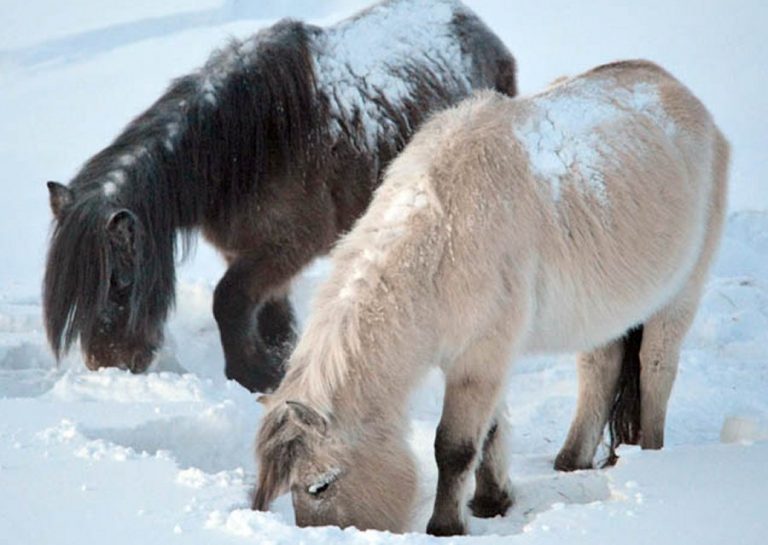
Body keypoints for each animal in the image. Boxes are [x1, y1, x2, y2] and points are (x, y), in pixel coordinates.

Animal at [42, 0, 517, 393]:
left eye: (121, 283)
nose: (109, 363)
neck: (241, 147)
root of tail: (477, 25)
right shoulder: (251, 251)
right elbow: (271, 314)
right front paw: (281, 364)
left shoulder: (288, 245)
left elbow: (228, 302)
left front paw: (252, 376)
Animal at [253, 60, 729, 535]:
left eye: (319, 486)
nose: (330, 535)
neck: (441, 237)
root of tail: (680, 92)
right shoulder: (486, 360)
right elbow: (491, 432)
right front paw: (491, 501)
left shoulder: (480, 358)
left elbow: (455, 447)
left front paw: (446, 526)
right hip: (603, 313)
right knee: (599, 368)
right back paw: (571, 461)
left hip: (678, 298)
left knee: (656, 370)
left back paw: (651, 453)